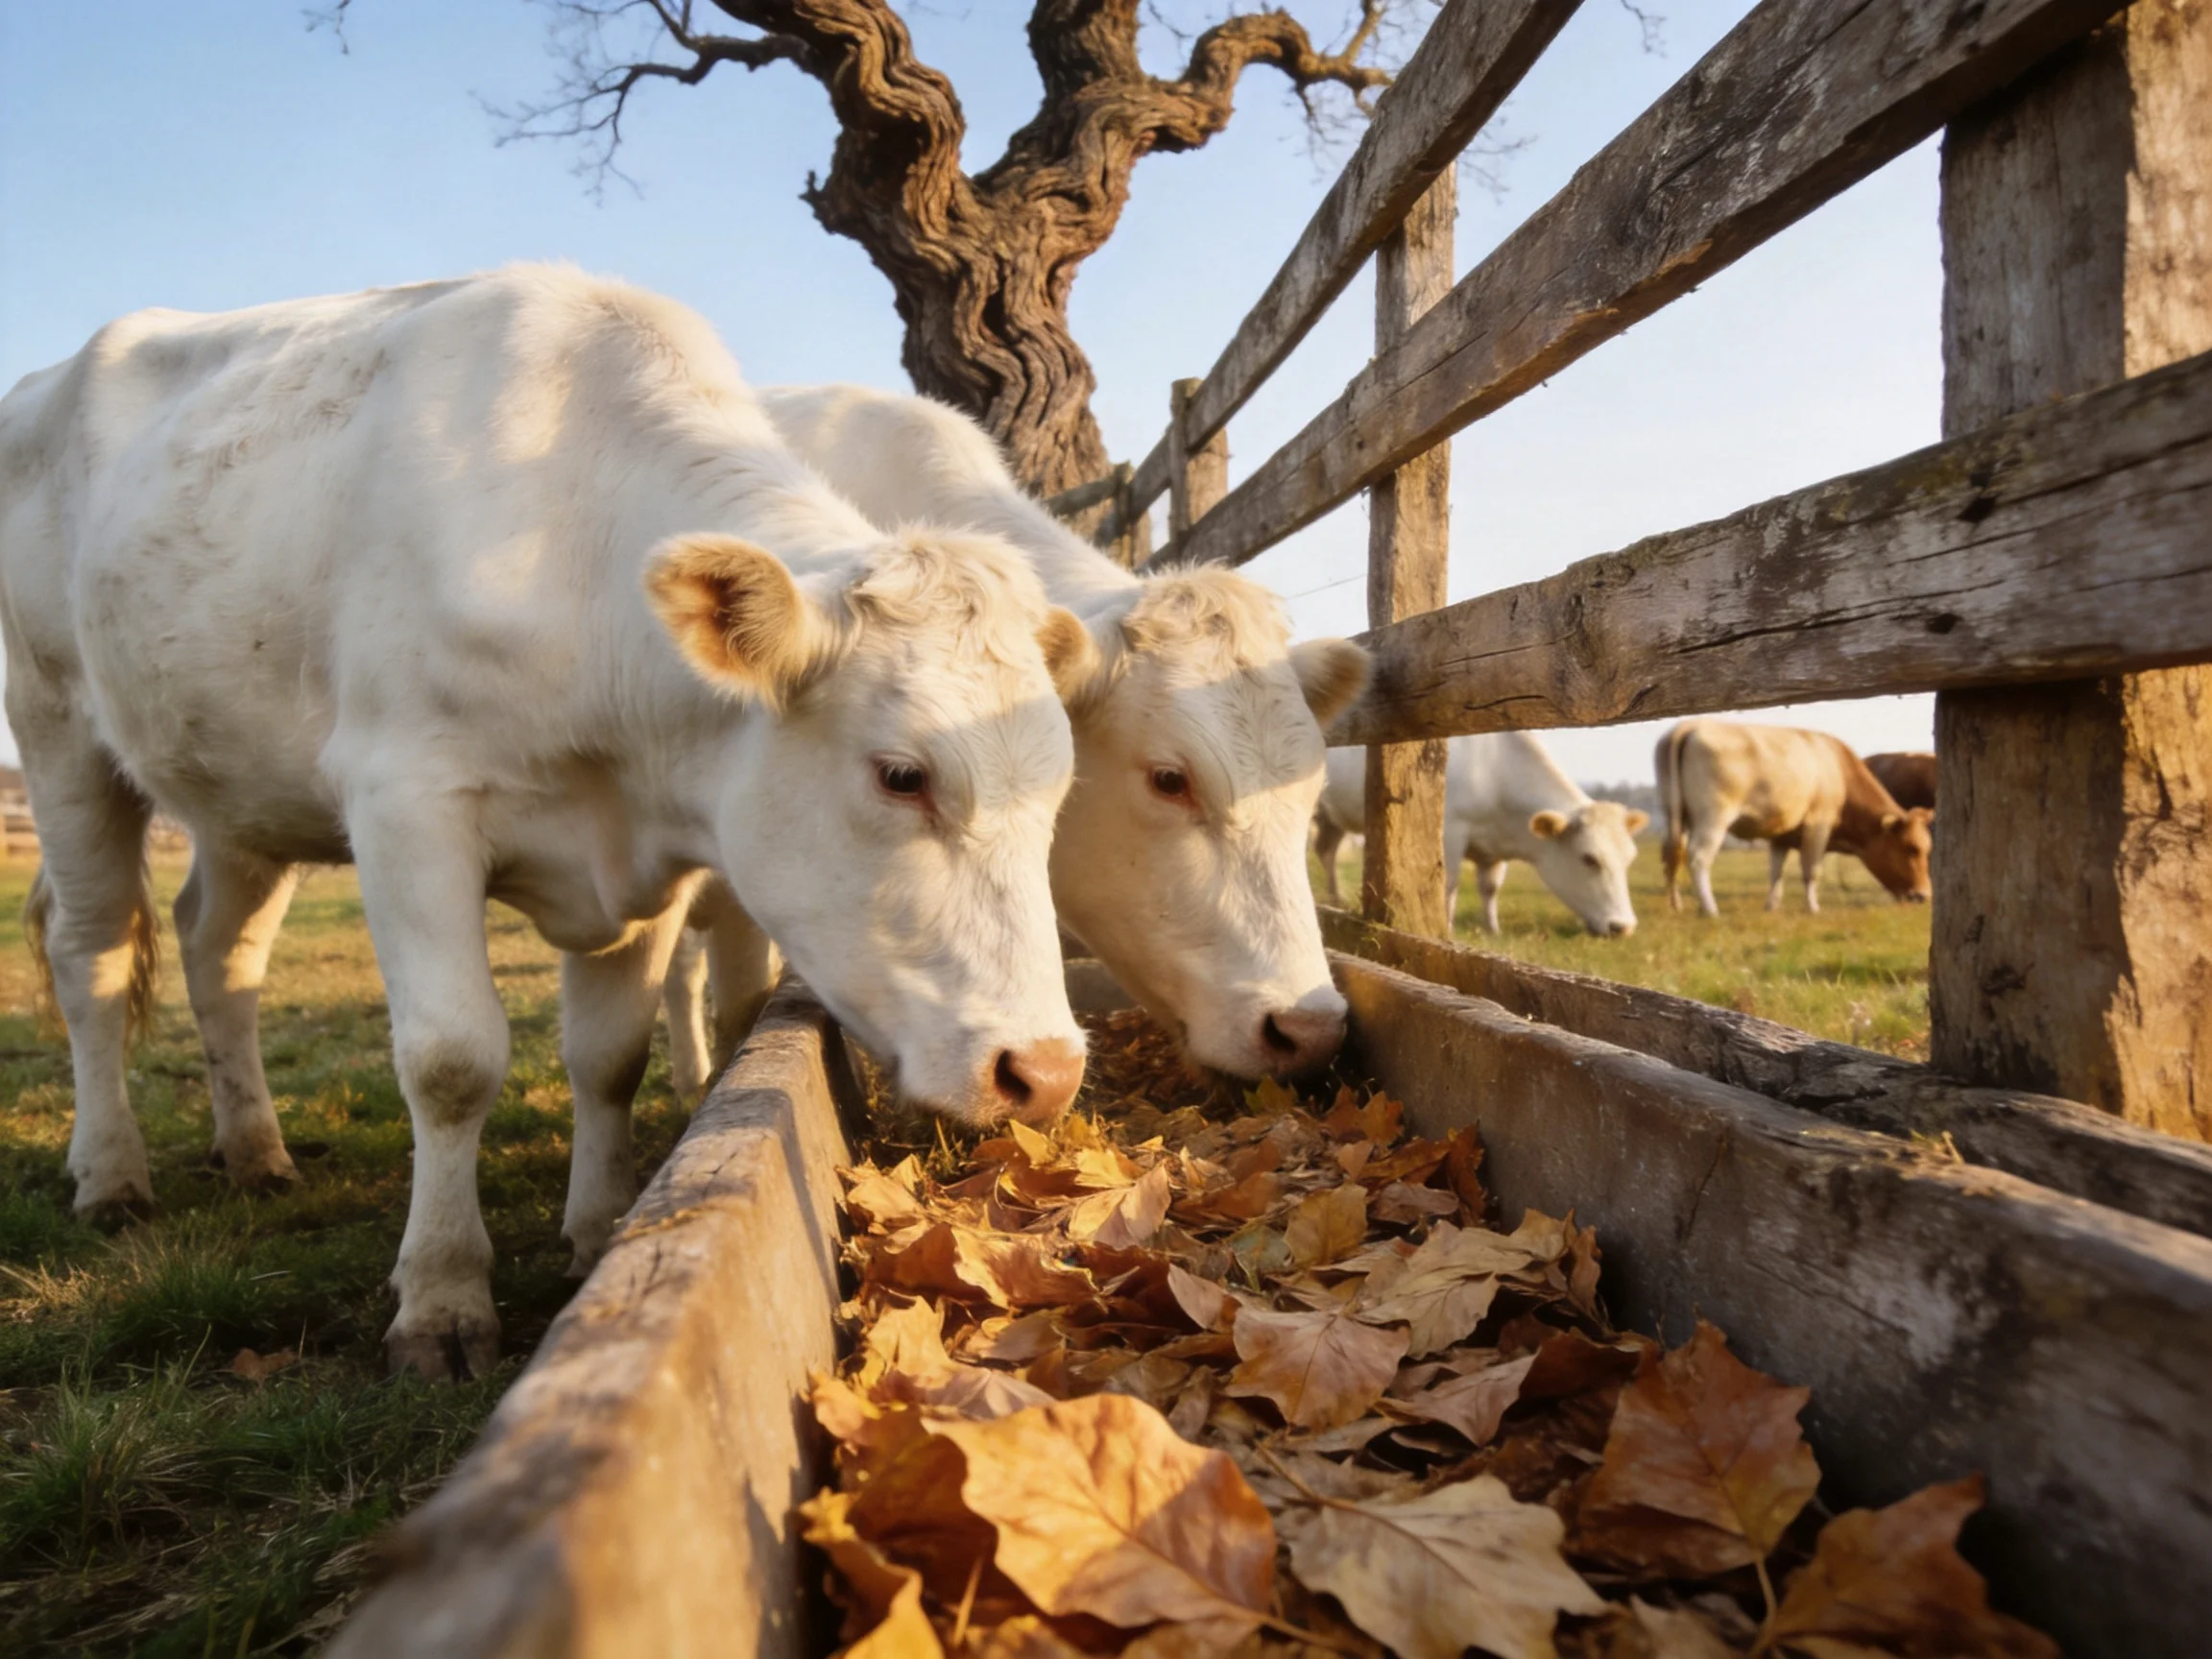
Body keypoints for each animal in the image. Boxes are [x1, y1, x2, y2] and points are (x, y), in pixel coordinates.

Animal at [0, 266, 1095, 1377]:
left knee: (219, 951)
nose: (1044, 1073)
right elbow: (451, 1062)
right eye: (902, 774)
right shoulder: (405, 804)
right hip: (59, 735)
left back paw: (255, 1148)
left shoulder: (643, 854)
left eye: (1058, 789)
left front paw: (598, 1229)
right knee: (92, 955)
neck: (575, 563)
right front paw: (442, 1296)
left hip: (240, 790)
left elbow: (607, 1055)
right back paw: (109, 1172)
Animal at [1310, 735, 1648, 937]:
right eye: (1589, 858)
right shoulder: (1451, 830)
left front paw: (1492, 929)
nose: (1624, 926)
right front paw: (1445, 927)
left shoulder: (1494, 850)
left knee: (1326, 851)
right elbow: (1447, 883)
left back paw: (1335, 897)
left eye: (1630, 859)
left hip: (1331, 818)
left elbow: (1490, 887)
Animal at [1656, 720, 1933, 916]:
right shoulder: (1818, 824)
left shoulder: (1781, 835)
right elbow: (1811, 870)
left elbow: (1776, 871)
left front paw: (1771, 906)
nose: (1923, 895)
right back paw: (1709, 909)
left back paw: (1676, 905)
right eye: (1911, 848)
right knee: (1698, 857)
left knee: (1672, 856)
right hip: (1713, 818)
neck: (1838, 771)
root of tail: (1692, 725)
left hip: (1675, 815)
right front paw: (1813, 908)